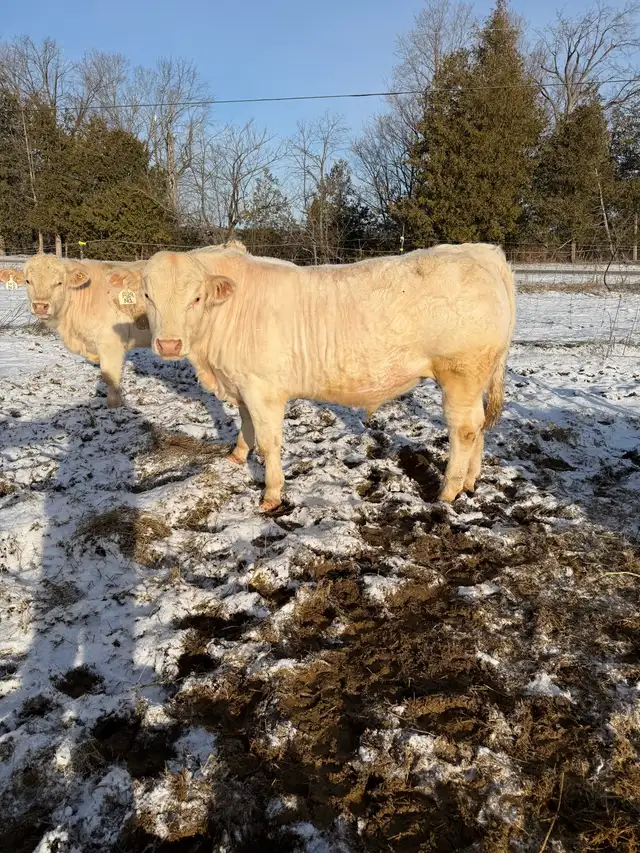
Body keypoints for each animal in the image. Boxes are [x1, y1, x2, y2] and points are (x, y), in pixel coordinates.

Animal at [140, 243, 516, 511]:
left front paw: (271, 494)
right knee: (477, 425)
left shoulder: (262, 389)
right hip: (475, 378)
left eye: (196, 297)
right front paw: (236, 455)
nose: (169, 344)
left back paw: (448, 490)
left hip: (460, 373)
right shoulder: (241, 383)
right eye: (148, 296)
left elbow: (269, 441)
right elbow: (245, 424)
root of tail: (479, 251)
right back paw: (469, 482)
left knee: (463, 430)